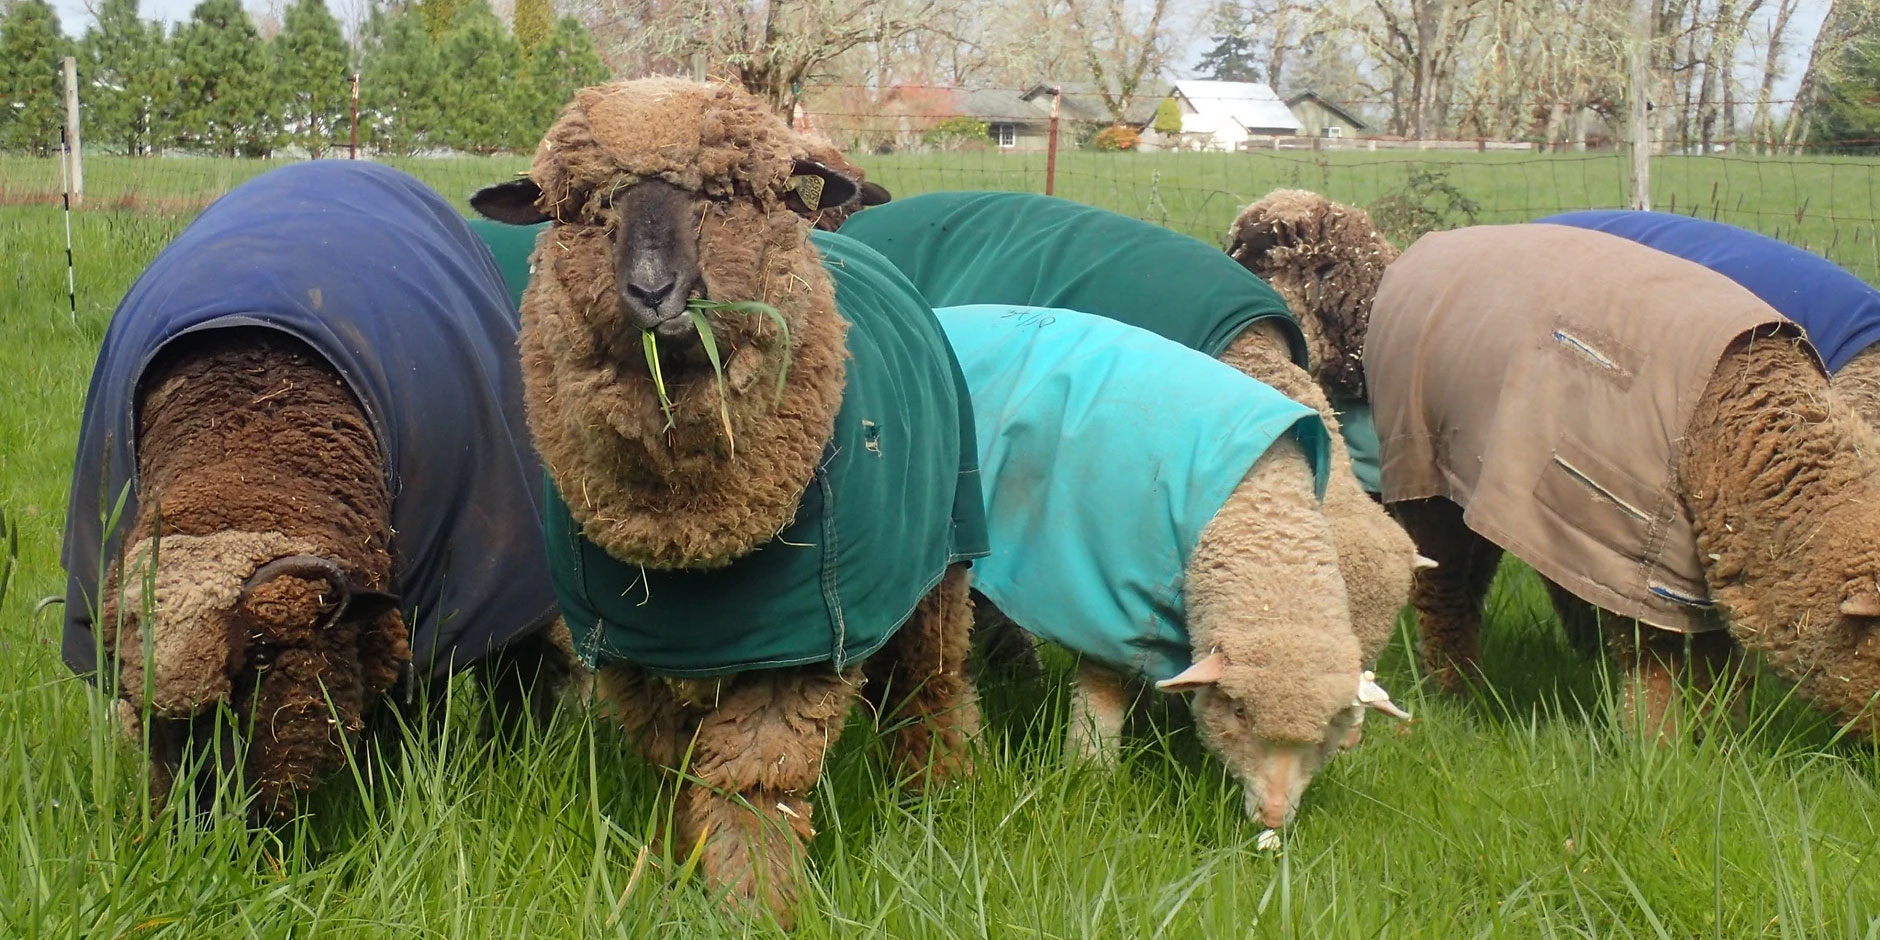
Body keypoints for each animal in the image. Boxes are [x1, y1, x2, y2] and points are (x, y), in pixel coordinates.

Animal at [60, 161, 571, 822]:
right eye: (126, 676)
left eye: (260, 657)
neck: (246, 441)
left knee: (523, 669)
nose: (201, 817)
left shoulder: (430, 607)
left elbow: (409, 708)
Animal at [466, 77, 986, 925]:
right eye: (585, 208)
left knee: (931, 684)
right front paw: (687, 869)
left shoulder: (802, 647)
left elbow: (753, 784)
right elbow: (680, 766)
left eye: (725, 196)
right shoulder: (633, 655)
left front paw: (754, 906)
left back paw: (936, 796)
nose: (652, 291)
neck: (690, 539)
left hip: (945, 563)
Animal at [936, 302, 1409, 829]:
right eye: (1239, 713)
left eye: (1325, 729)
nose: (1272, 817)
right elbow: (1102, 694)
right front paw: (1091, 773)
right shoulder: (1109, 604)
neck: (1258, 507)